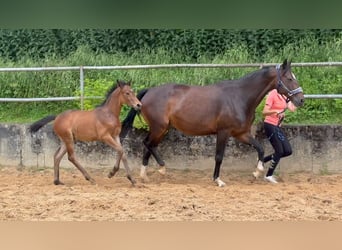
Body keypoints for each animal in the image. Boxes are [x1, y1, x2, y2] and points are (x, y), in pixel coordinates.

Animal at [121, 59, 304, 187]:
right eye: (289, 78)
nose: (301, 99)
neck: (239, 97)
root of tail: (148, 92)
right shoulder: (223, 132)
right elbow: (219, 156)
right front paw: (218, 180)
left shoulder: (241, 133)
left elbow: (260, 148)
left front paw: (257, 172)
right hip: (159, 127)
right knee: (148, 143)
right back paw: (161, 168)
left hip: (162, 129)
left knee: (149, 145)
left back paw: (145, 175)